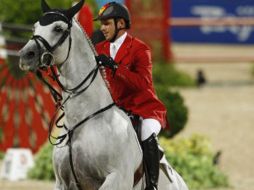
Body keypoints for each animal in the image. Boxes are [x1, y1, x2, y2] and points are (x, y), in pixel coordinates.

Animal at [18, 0, 188, 190]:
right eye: (35, 27)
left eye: (58, 28)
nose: (26, 56)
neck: (81, 123)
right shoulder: (62, 182)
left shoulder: (116, 179)